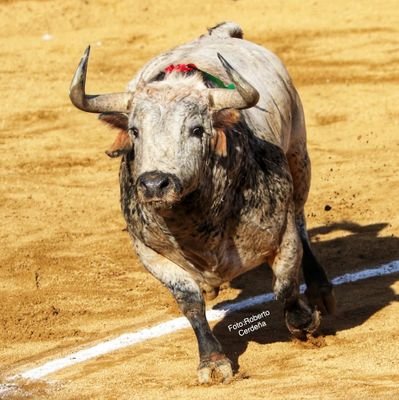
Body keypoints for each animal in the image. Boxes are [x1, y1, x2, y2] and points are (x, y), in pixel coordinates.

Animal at [70, 22, 336, 384]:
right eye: (135, 130)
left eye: (197, 129)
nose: (154, 183)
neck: (197, 223)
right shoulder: (150, 253)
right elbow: (190, 301)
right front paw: (212, 361)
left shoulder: (281, 235)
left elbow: (284, 284)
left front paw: (304, 322)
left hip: (299, 154)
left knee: (300, 217)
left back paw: (321, 289)